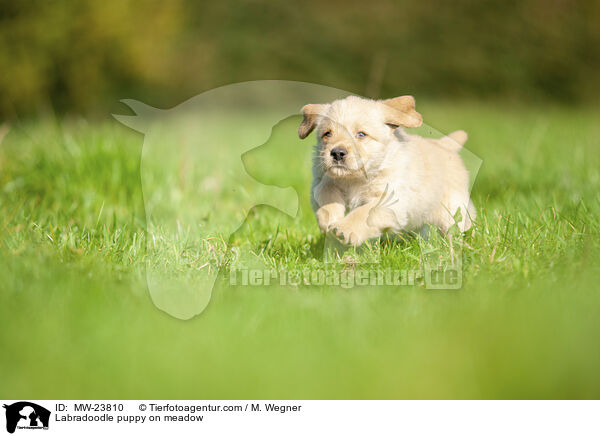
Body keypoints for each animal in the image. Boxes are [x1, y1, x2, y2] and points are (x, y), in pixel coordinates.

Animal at [298, 95, 476, 245]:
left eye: (361, 134)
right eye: (327, 134)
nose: (337, 153)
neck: (355, 179)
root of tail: (446, 145)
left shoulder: (391, 200)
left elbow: (364, 212)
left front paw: (345, 229)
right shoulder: (321, 181)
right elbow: (326, 190)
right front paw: (330, 219)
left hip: (452, 209)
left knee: (459, 227)